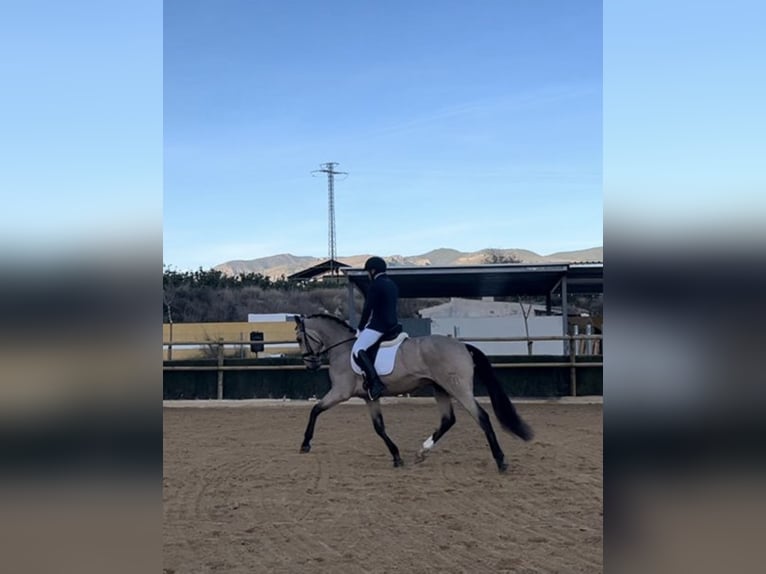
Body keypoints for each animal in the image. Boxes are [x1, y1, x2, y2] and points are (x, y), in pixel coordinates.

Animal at [294, 316, 536, 472]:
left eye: (298, 338)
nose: (310, 365)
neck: (343, 348)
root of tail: (462, 345)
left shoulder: (340, 392)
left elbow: (315, 410)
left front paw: (305, 444)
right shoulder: (370, 398)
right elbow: (379, 428)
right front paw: (396, 457)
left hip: (457, 388)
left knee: (481, 417)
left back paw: (501, 460)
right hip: (440, 388)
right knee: (448, 419)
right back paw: (422, 452)